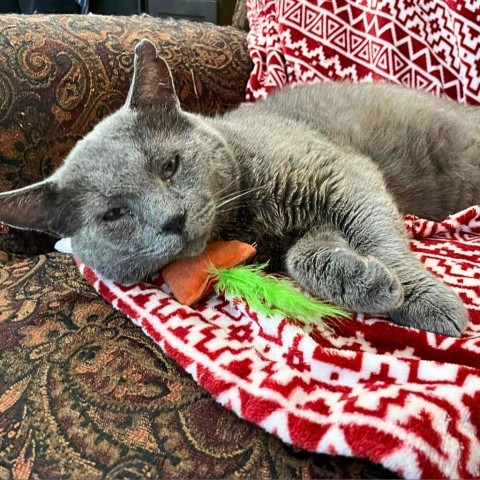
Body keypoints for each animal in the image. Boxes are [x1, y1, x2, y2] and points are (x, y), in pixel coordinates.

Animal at [0, 39, 480, 336]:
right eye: (114, 214)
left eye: (170, 165)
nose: (173, 219)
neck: (250, 220)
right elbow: (304, 256)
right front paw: (367, 281)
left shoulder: (341, 173)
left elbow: (376, 235)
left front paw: (428, 302)